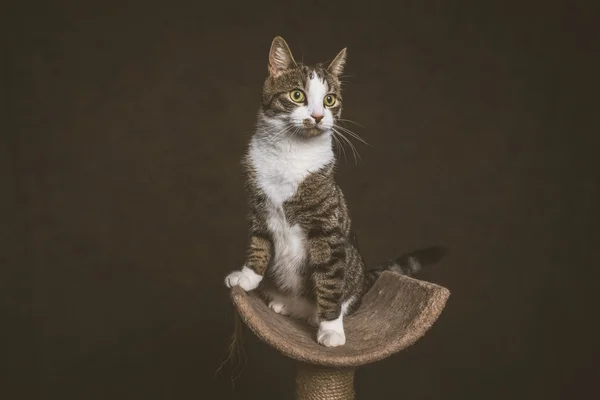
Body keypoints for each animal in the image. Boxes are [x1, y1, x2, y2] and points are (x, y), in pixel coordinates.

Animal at [225, 36, 446, 346]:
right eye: (297, 95)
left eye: (329, 100)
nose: (318, 116)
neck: (289, 154)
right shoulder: (259, 205)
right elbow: (258, 244)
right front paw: (246, 278)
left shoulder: (327, 227)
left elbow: (329, 278)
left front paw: (330, 329)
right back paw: (284, 303)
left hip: (351, 268)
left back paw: (317, 315)